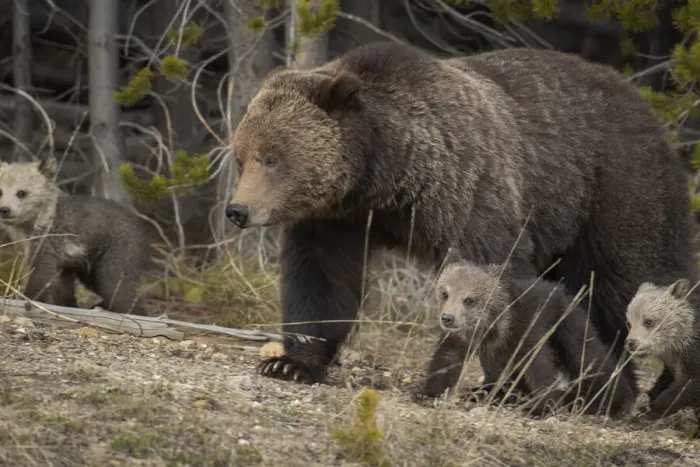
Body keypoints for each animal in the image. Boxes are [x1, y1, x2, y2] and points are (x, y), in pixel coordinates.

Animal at [0, 156, 152, 316]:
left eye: (21, 192)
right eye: (1, 191)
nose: (4, 210)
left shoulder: (47, 244)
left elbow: (40, 277)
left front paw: (29, 300)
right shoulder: (60, 260)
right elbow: (62, 289)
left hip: (117, 248)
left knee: (118, 285)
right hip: (90, 265)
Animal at [226, 41, 696, 397]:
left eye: (272, 158)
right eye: (241, 158)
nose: (237, 210)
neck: (387, 177)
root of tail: (645, 107)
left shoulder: (466, 190)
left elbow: (498, 281)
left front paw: (503, 382)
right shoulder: (338, 219)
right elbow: (320, 280)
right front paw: (291, 363)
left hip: (615, 194)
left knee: (627, 280)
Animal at [432, 257, 636, 419]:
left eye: (469, 300)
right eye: (445, 293)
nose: (448, 318)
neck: (491, 326)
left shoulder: (525, 328)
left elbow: (538, 365)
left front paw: (541, 408)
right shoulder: (464, 338)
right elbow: (446, 359)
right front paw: (431, 391)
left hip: (567, 324)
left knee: (589, 356)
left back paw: (606, 400)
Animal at [625, 279, 700, 420]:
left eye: (649, 321)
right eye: (629, 323)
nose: (631, 342)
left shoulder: (693, 354)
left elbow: (688, 384)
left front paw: (652, 410)